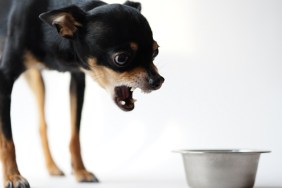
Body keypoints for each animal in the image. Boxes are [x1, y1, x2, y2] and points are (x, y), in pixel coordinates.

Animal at [0, 0, 164, 187]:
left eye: (155, 51)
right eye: (121, 58)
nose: (158, 80)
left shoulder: (77, 80)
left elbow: (75, 135)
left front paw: (80, 171)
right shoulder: (4, 79)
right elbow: (7, 141)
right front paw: (12, 176)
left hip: (37, 80)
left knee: (42, 124)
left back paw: (52, 166)